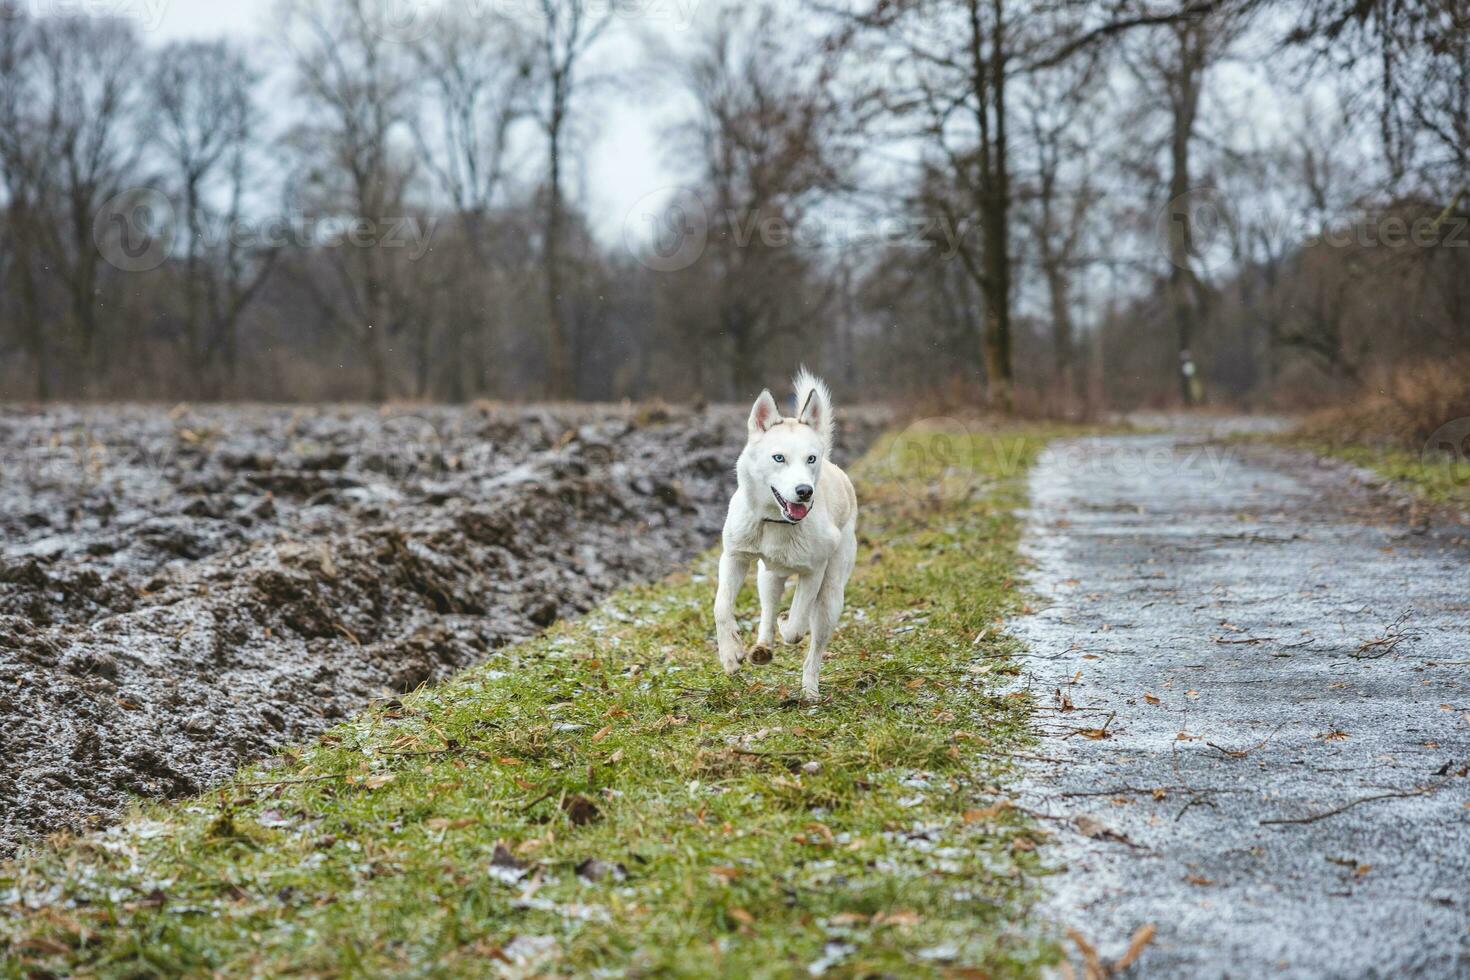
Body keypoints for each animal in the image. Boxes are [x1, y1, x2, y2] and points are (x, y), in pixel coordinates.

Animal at [714, 365, 858, 696]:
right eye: (778, 457)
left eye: (810, 459)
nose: (804, 491)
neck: (775, 522)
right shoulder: (734, 557)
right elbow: (721, 606)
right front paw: (730, 654)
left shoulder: (814, 572)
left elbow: (796, 626)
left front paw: (787, 624)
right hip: (767, 577)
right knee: (767, 608)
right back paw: (761, 648)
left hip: (832, 595)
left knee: (814, 644)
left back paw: (810, 690)